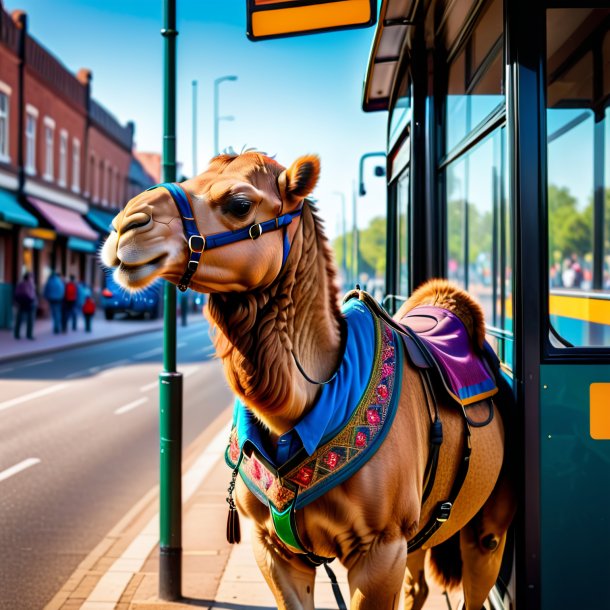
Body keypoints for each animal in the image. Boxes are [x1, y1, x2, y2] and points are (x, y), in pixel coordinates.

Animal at [101, 152, 512, 608]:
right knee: (418, 584)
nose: (126, 225)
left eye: (239, 204)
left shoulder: (380, 549)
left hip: (486, 530)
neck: (302, 408)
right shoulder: (272, 546)